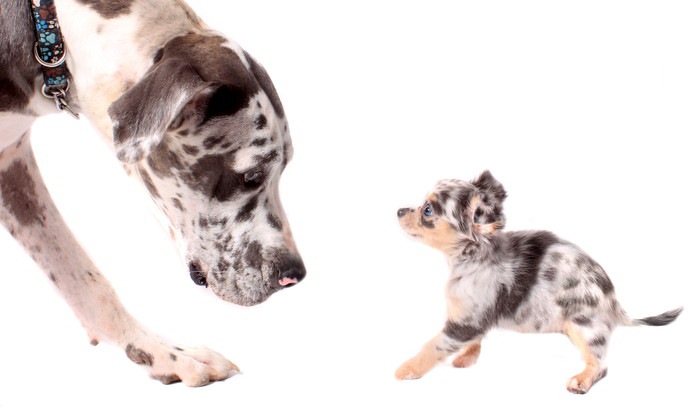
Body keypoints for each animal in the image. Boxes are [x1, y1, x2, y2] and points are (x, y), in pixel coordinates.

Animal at [1, 0, 304, 386]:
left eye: (284, 169)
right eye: (251, 175)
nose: (294, 273)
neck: (51, 28)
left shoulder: (11, 160)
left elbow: (82, 277)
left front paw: (165, 353)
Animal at [396, 171, 680, 396]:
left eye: (427, 210)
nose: (398, 210)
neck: (471, 256)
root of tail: (614, 303)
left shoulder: (466, 321)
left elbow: (433, 345)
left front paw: (408, 367)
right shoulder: (472, 316)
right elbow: (474, 339)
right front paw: (467, 356)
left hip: (585, 327)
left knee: (600, 365)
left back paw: (582, 380)